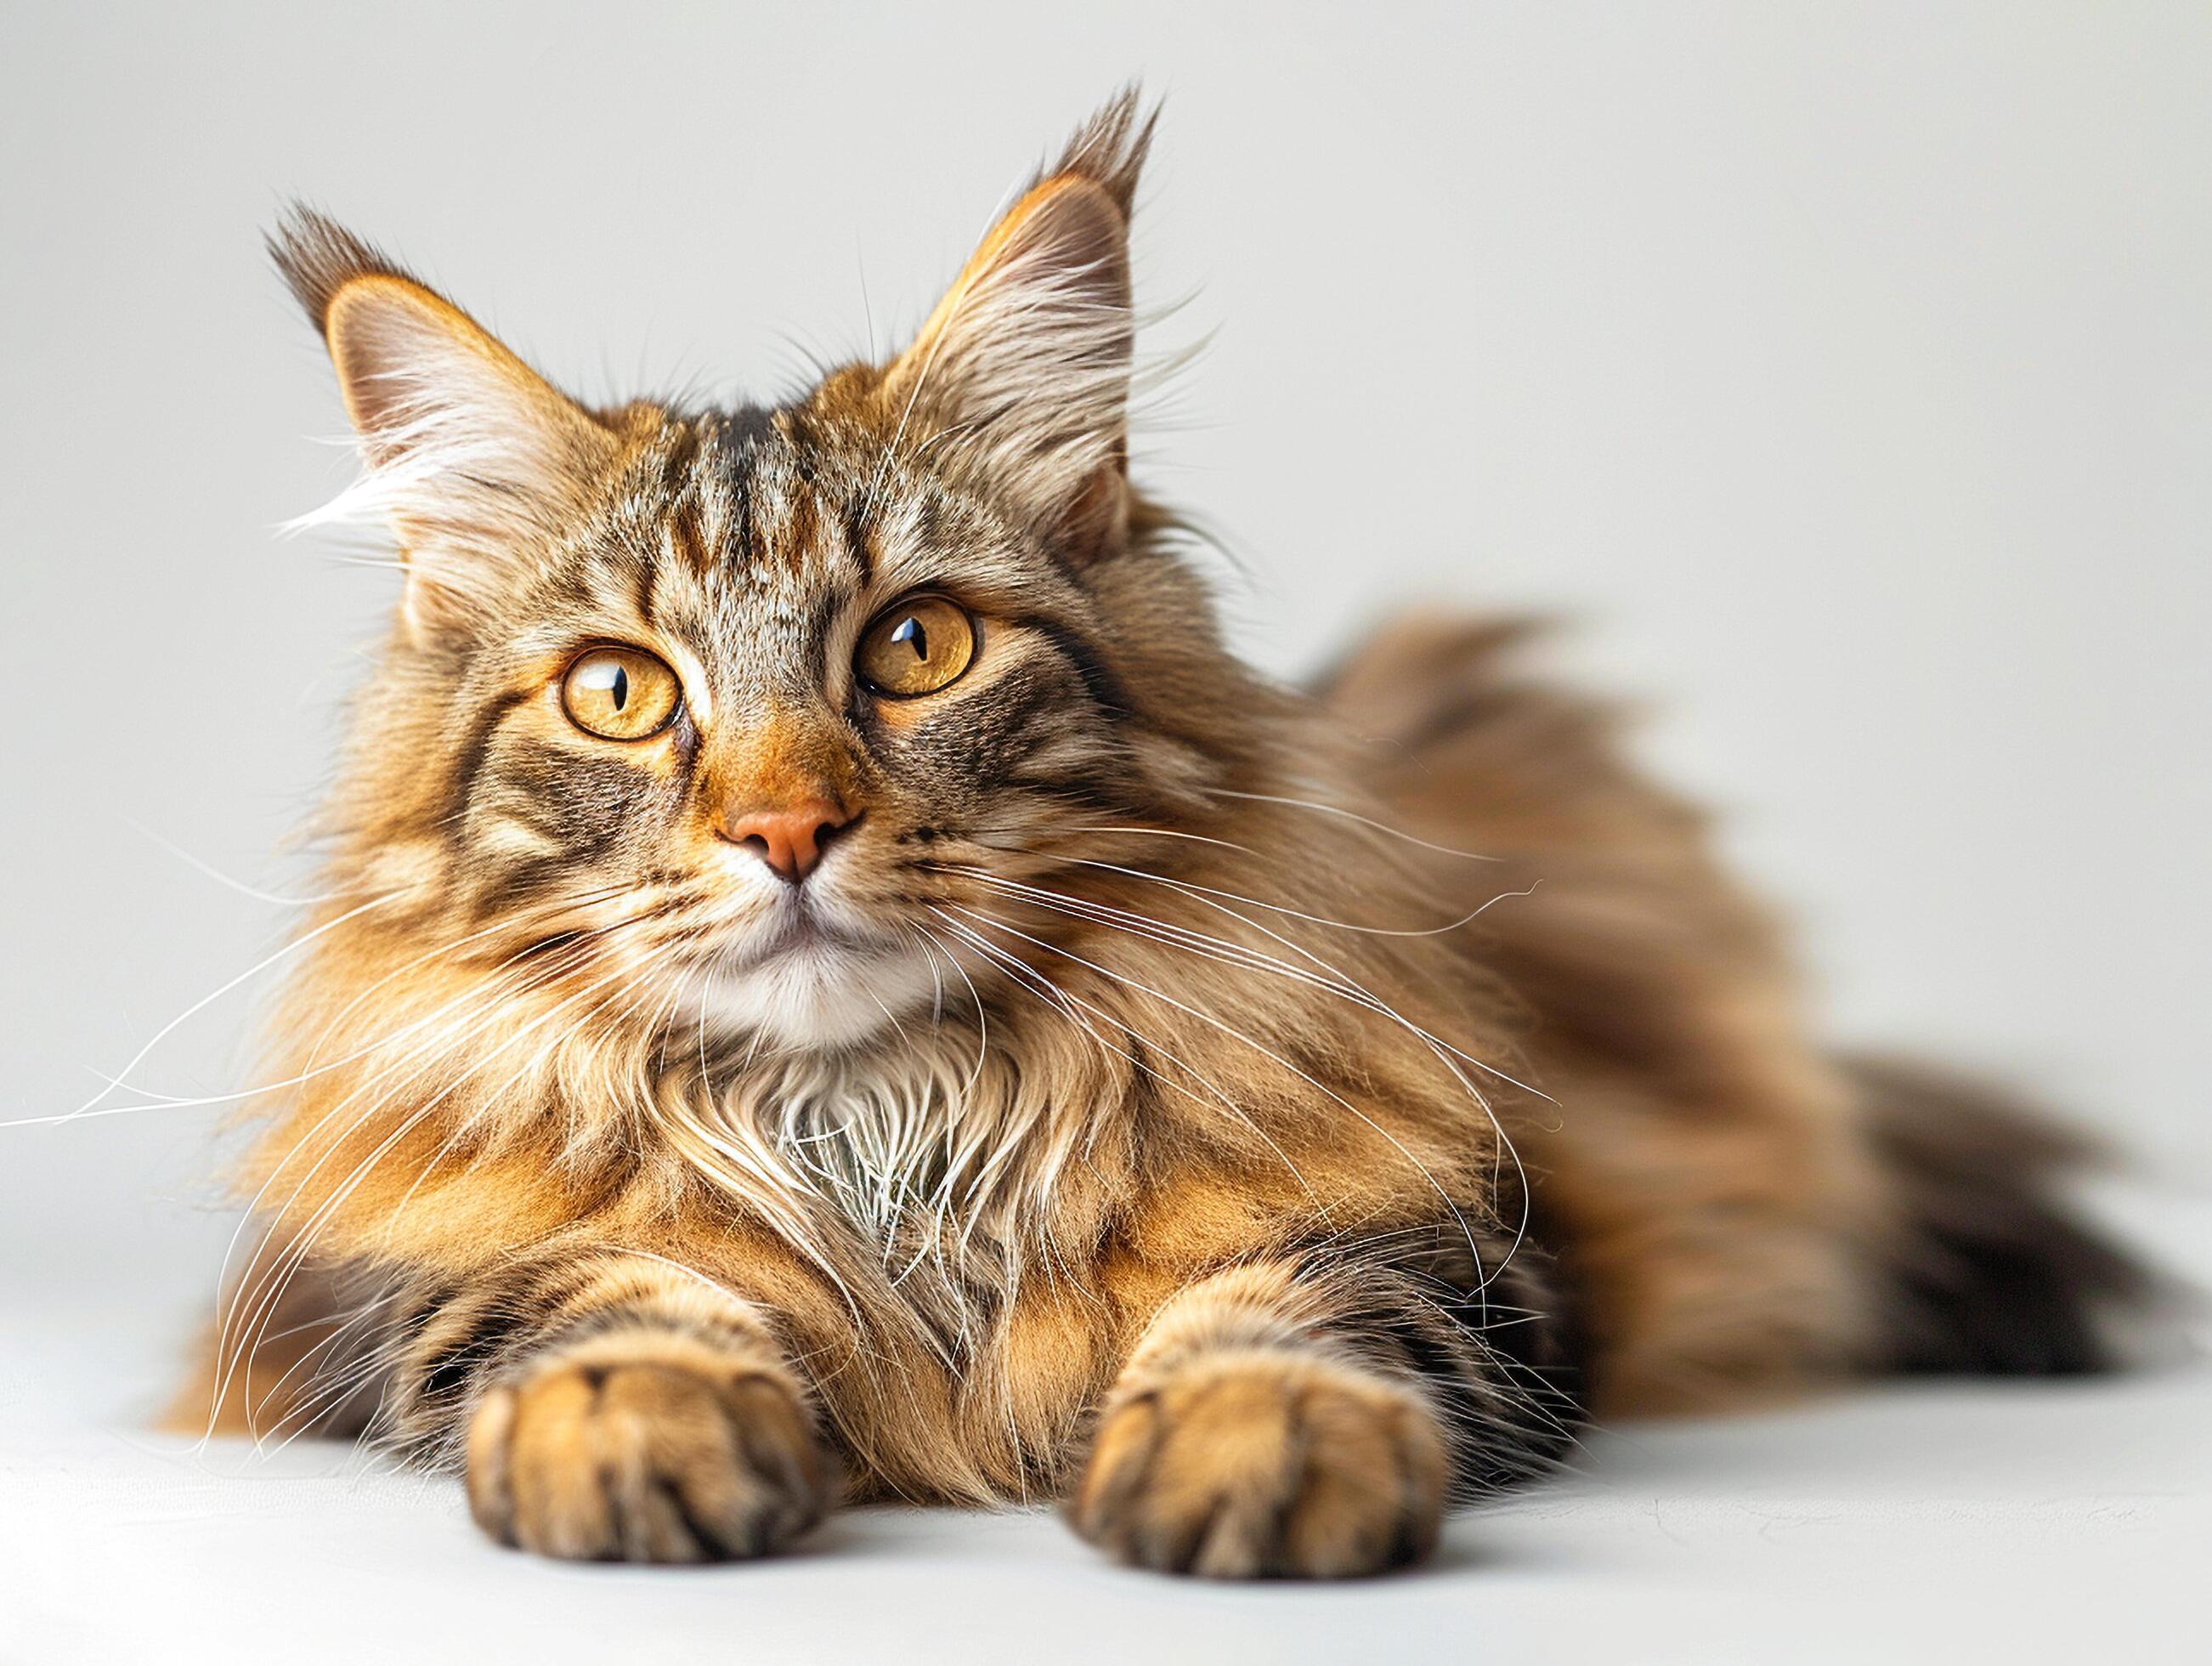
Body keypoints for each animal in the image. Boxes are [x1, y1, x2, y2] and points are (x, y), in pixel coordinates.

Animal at [173, 90, 2141, 1575]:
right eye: (618, 693)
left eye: (915, 647)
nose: (785, 829)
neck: (879, 1132)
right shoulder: (414, 1291)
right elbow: (609, 1289)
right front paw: (631, 1426)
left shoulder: (1463, 1253)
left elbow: (1279, 1307)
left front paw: (1254, 1442)